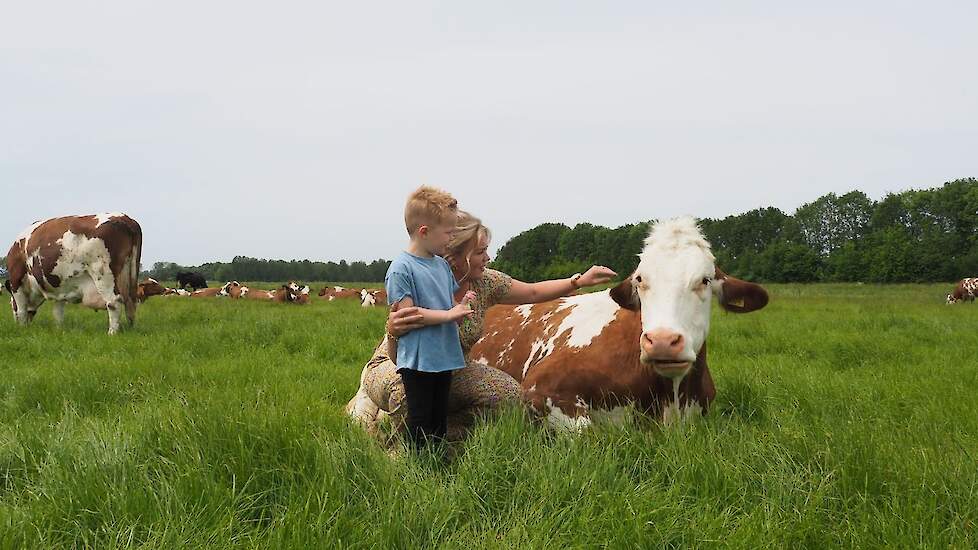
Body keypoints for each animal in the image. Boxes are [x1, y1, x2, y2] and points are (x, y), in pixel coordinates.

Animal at [4, 215, 143, 336]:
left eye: (11, 304)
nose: (15, 323)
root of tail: (125, 218)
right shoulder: (60, 289)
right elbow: (58, 312)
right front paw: (59, 329)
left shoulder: (16, 281)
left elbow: (21, 309)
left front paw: (22, 328)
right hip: (130, 276)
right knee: (130, 304)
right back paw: (130, 329)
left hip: (103, 274)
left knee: (114, 302)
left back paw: (112, 333)